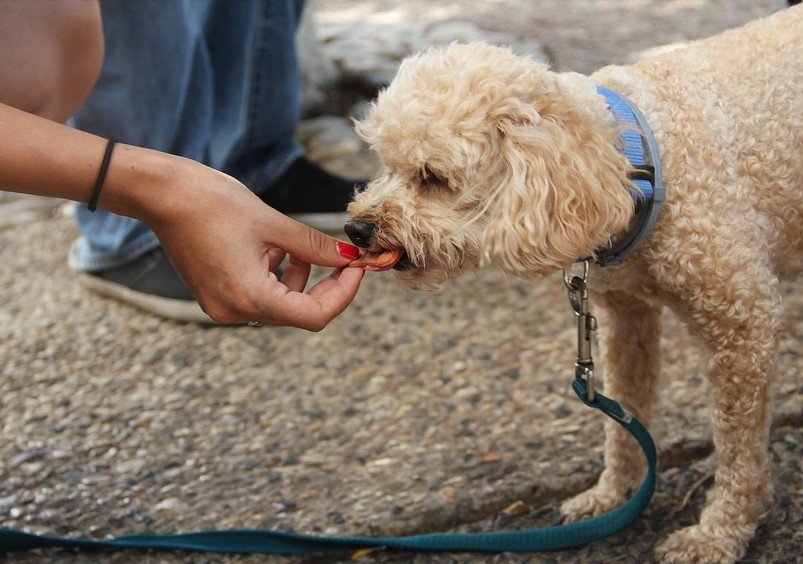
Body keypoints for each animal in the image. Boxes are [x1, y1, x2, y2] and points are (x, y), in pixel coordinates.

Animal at [346, 5, 803, 564]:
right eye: (383, 164)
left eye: (432, 176)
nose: (356, 228)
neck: (640, 161)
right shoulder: (626, 317)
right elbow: (626, 415)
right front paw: (615, 496)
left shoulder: (742, 324)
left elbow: (739, 450)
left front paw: (720, 532)